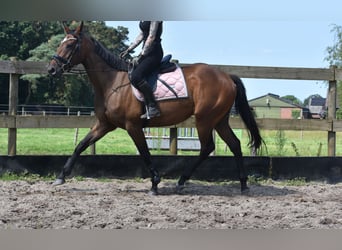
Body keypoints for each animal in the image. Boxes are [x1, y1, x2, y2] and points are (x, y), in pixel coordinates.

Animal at [47, 21, 262, 195]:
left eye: (70, 44)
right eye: (60, 43)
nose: (51, 69)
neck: (112, 81)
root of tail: (227, 76)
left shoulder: (132, 126)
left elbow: (144, 152)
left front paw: (155, 184)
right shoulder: (104, 124)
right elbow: (81, 145)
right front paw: (61, 177)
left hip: (205, 120)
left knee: (207, 147)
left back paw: (182, 181)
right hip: (219, 120)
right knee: (234, 144)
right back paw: (243, 185)